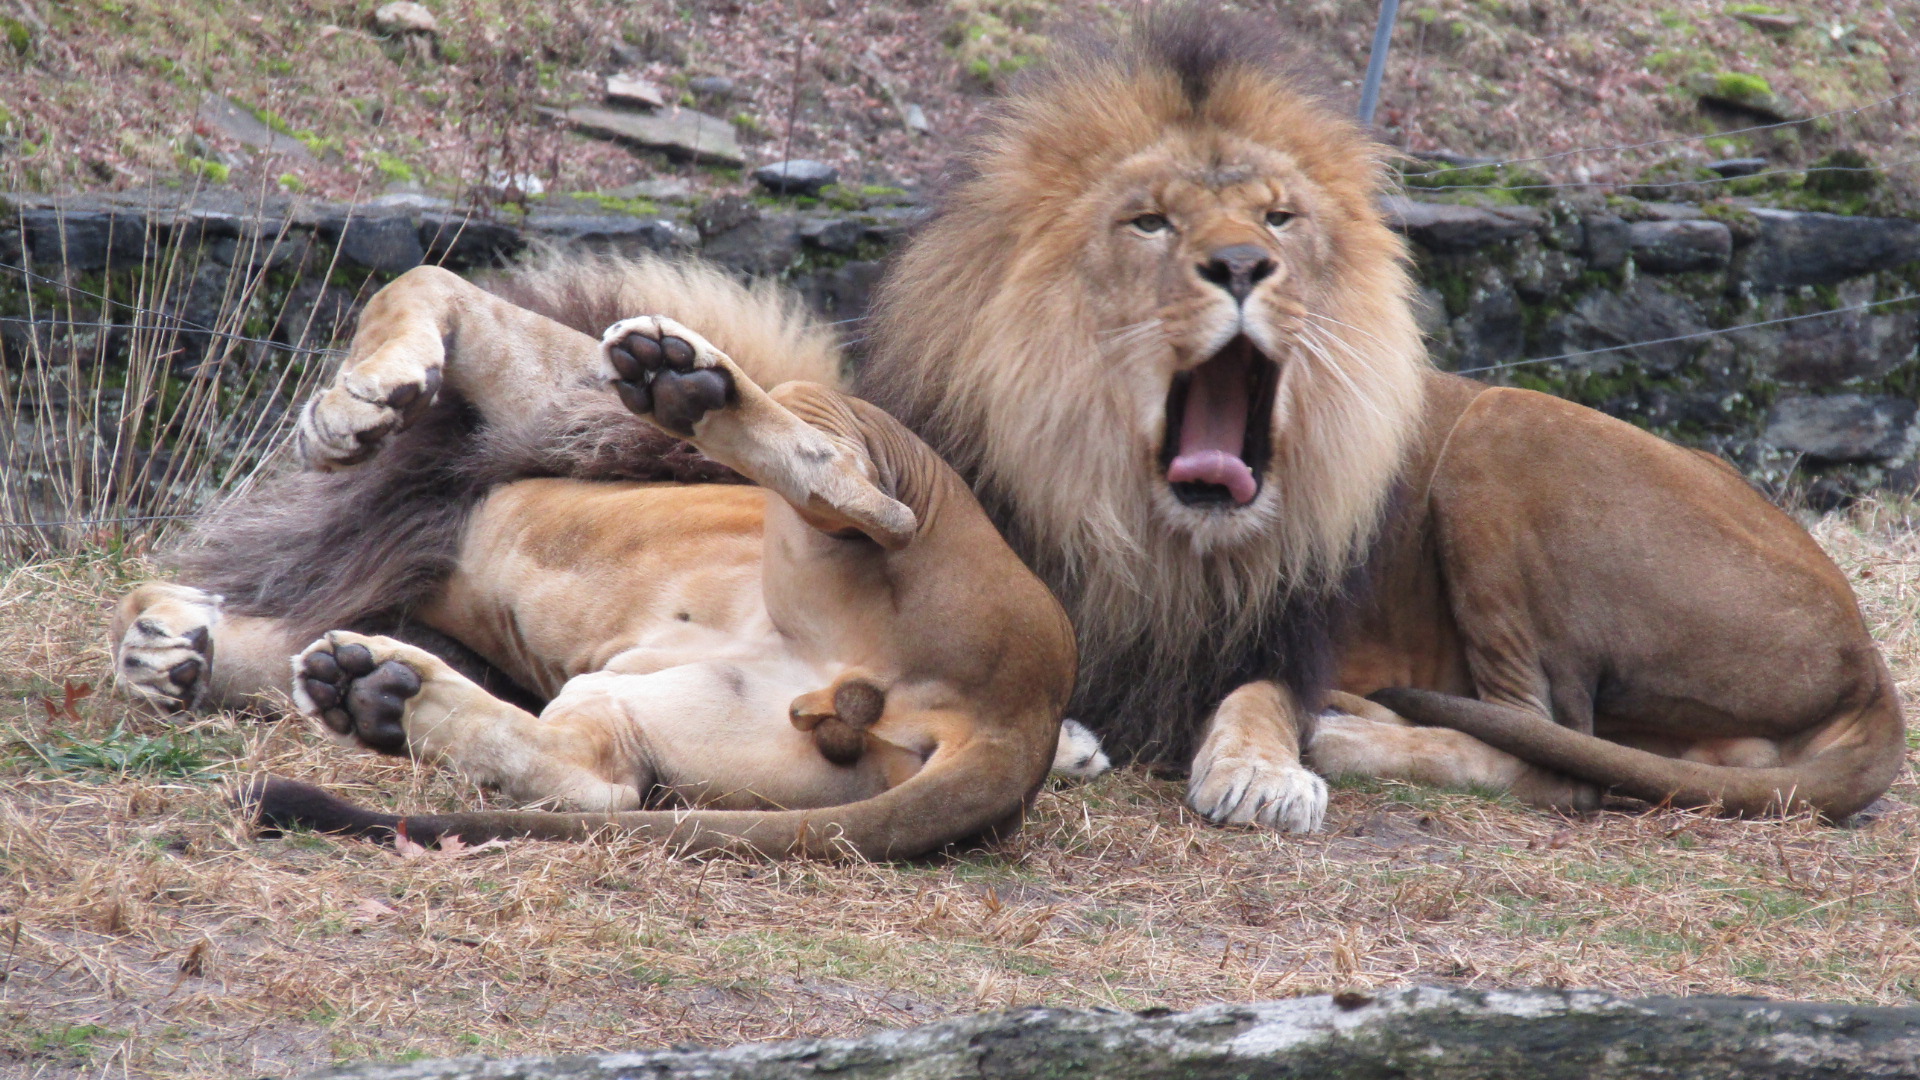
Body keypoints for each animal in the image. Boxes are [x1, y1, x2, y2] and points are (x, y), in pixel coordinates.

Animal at [112, 261, 1078, 859]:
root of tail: (1021, 722)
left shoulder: (555, 402)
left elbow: (424, 281)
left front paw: (358, 408)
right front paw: (163, 651)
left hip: (849, 443)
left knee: (877, 503)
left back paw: (680, 377)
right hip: (649, 705)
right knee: (596, 781)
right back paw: (376, 691)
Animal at [853, 11, 1905, 829]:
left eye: (1278, 218)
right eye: (1149, 221)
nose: (1244, 265)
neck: (1151, 535)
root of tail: (1867, 658)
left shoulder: (1283, 632)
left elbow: (1261, 699)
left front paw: (1265, 771)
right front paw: (1072, 736)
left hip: (1505, 426)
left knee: (1555, 745)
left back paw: (1347, 730)